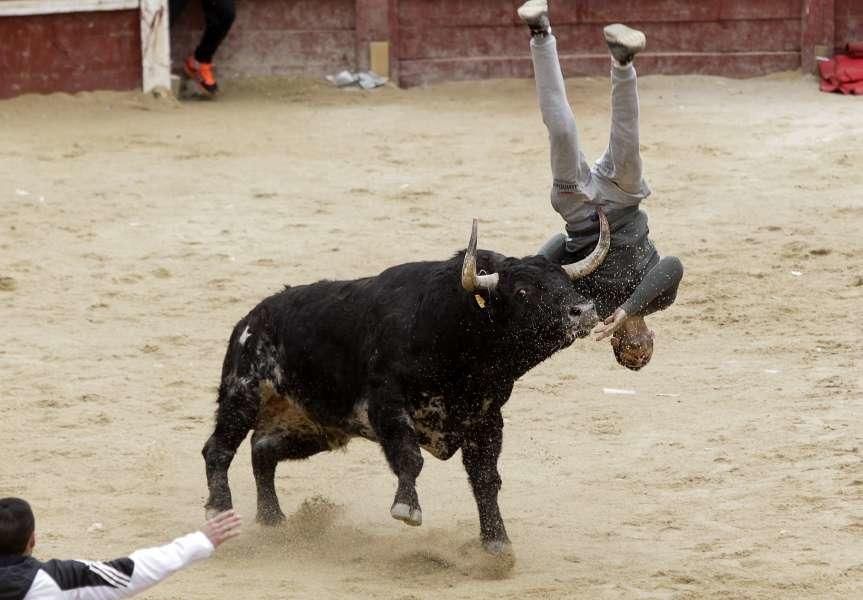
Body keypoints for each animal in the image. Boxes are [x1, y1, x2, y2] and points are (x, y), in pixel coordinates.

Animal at [203, 213, 612, 556]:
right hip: (242, 394)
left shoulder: (485, 420)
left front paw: (497, 543)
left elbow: (486, 479)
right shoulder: (387, 406)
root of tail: (250, 320)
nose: (584, 311)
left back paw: (273, 520)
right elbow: (409, 458)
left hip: (314, 427)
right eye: (523, 292)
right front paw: (407, 508)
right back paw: (220, 513)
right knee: (218, 450)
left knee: (263, 451)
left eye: (564, 282)